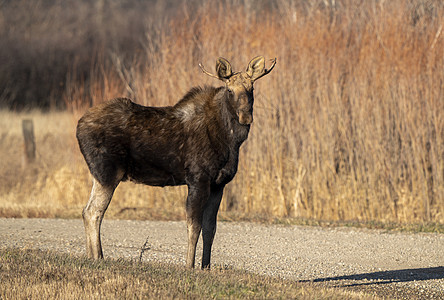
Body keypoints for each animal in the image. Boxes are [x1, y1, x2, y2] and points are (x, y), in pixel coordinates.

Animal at [78, 55, 276, 268]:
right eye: (230, 90)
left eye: (252, 88)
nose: (245, 116)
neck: (230, 140)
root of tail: (78, 126)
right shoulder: (198, 179)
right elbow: (194, 226)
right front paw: (189, 266)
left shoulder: (219, 184)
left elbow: (210, 229)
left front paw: (206, 267)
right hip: (107, 173)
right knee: (93, 212)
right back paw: (98, 257)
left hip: (99, 176)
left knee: (86, 211)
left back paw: (91, 256)